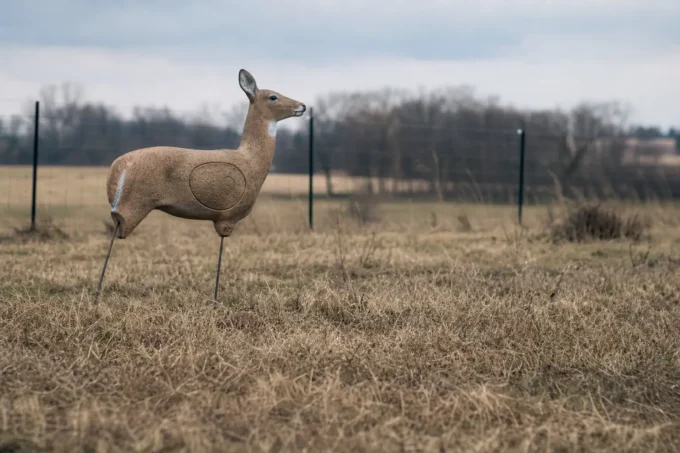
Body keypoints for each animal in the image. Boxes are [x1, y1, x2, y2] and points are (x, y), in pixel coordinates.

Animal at [94, 69, 306, 305]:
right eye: (273, 97)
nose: (303, 106)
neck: (250, 159)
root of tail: (116, 168)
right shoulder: (227, 217)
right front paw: (215, 301)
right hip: (132, 205)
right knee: (116, 231)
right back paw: (96, 297)